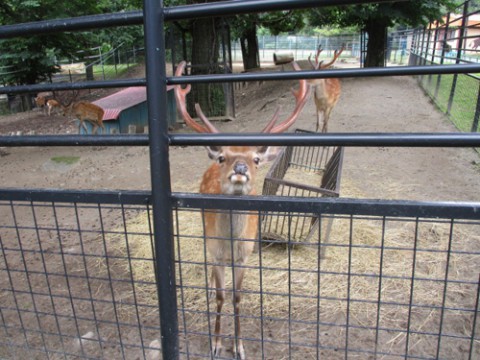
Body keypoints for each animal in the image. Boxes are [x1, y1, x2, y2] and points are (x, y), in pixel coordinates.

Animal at [174, 60, 310, 358]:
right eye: (223, 157)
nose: (239, 167)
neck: (230, 244)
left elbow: (236, 297)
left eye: (256, 159)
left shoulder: (245, 256)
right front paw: (215, 343)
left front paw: (238, 346)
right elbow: (221, 295)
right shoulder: (216, 253)